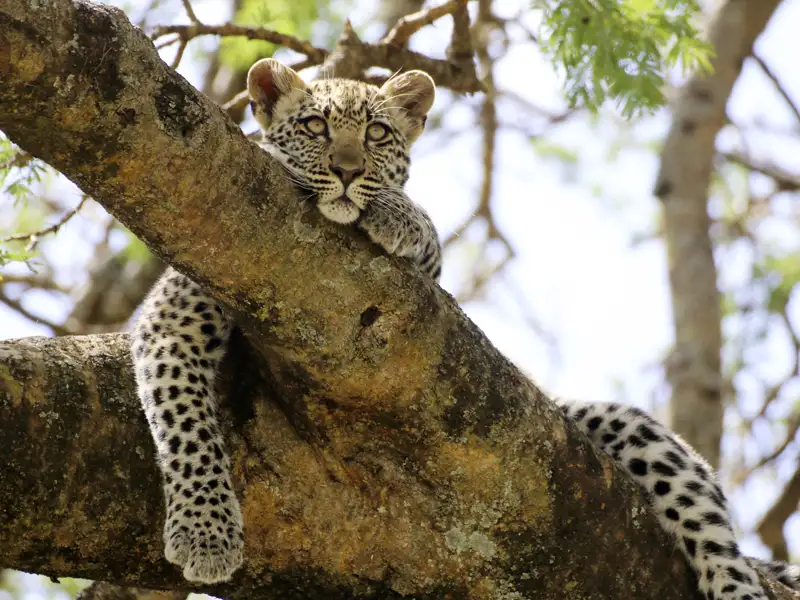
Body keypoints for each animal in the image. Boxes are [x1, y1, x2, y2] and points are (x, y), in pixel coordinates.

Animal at [130, 58, 800, 598]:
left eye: (377, 134)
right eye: (314, 128)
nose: (346, 172)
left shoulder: (422, 284)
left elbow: (427, 242)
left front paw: (397, 214)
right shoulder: (174, 317)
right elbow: (186, 423)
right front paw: (206, 534)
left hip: (631, 433)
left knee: (717, 539)